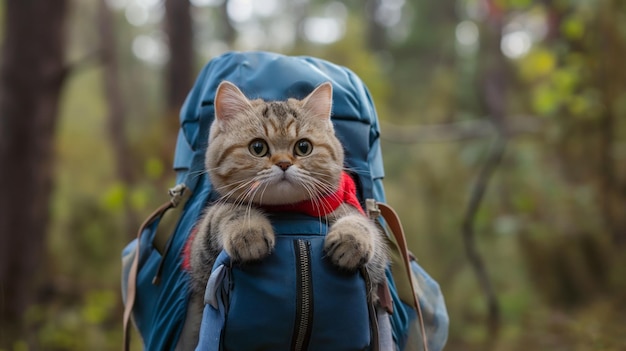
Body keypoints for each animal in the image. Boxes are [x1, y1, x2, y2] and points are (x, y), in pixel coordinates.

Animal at [176, 81, 388, 350]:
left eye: (303, 147)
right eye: (258, 147)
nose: (284, 163)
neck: (289, 210)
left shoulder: (374, 264)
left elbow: (363, 225)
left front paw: (350, 239)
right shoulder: (201, 254)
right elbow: (227, 211)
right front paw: (249, 232)